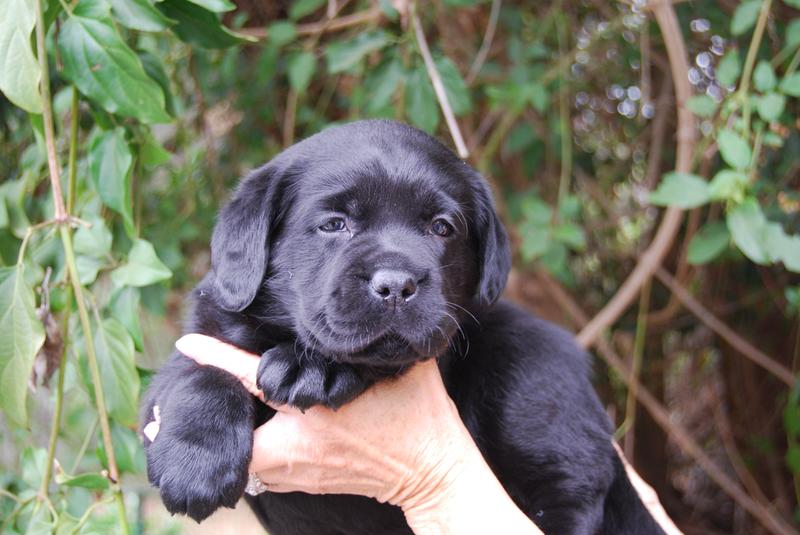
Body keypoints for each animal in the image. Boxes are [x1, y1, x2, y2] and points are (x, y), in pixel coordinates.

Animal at [142, 120, 664, 535]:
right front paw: (195, 462)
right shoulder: (191, 351)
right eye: (334, 224)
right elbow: (197, 374)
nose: (396, 285)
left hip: (534, 374)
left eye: (441, 227)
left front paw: (316, 370)